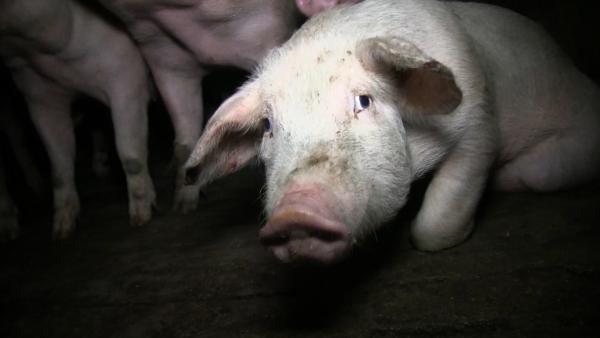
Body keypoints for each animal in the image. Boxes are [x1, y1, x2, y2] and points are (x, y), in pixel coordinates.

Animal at [0, 0, 155, 239]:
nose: (139, 220)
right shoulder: (38, 96)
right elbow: (58, 168)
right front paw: (61, 232)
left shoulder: (126, 75)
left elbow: (130, 155)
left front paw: (140, 220)